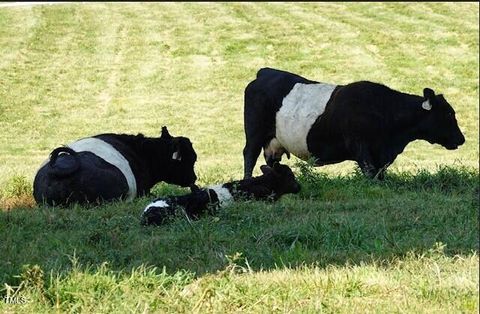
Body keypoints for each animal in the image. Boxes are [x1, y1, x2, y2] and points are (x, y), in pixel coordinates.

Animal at [244, 67, 464, 179]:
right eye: (448, 114)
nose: (461, 139)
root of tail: (265, 72)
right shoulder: (361, 148)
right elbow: (370, 174)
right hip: (254, 133)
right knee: (249, 155)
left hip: (273, 142)